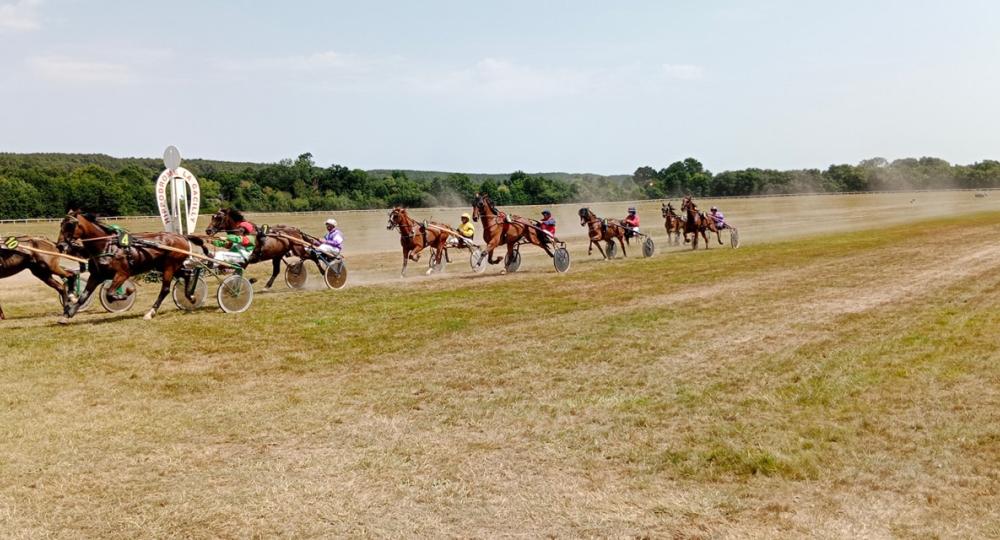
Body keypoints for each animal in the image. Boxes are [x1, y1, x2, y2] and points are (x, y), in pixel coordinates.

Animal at [58, 210, 201, 320]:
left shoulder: (122, 274)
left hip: (169, 267)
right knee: (187, 274)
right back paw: (191, 296)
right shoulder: (96, 275)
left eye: (70, 225)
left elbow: (110, 293)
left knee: (165, 289)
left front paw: (127, 292)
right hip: (165, 266)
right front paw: (68, 314)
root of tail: (182, 237)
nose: (60, 245)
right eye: (61, 224)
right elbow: (83, 296)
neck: (107, 246)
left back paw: (150, 312)